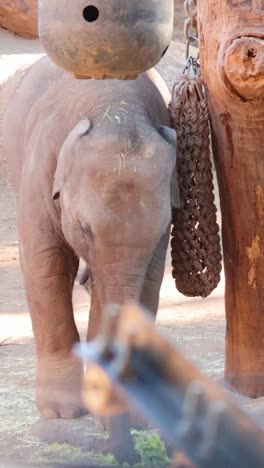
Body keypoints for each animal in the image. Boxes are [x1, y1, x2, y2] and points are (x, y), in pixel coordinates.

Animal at [3, 56, 177, 418]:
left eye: (162, 227)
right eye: (84, 228)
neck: (115, 106)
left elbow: (149, 279)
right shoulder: (40, 171)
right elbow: (45, 266)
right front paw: (61, 411)